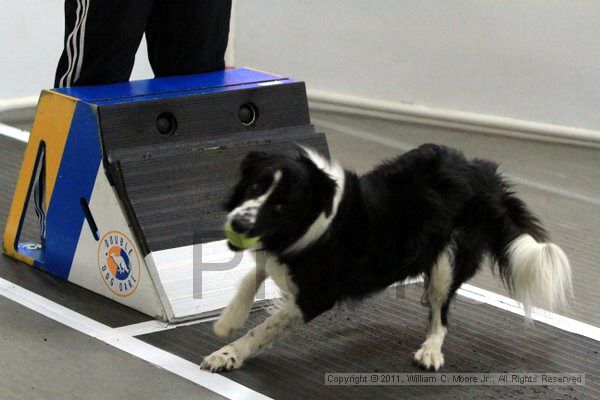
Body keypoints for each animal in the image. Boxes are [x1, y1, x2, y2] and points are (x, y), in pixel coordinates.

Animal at [202, 143, 572, 372]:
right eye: (255, 187)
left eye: (281, 205)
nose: (238, 224)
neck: (317, 216)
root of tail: (485, 174)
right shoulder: (278, 256)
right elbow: (252, 275)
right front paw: (229, 320)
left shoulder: (317, 295)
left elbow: (264, 329)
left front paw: (228, 354)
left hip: (448, 260)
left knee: (440, 315)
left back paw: (431, 351)